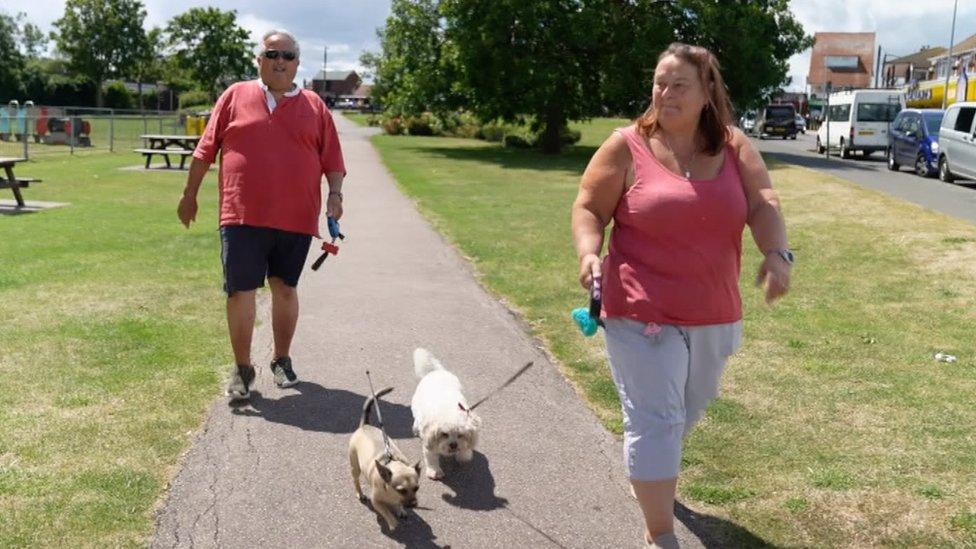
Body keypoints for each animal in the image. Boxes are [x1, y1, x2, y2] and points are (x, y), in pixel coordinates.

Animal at [348, 386, 422, 532]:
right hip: (355, 467)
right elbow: (386, 512)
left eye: (416, 488)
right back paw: (360, 493)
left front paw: (400, 509)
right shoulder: (376, 502)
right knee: (356, 480)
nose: (414, 504)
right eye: (401, 490)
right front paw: (392, 522)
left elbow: (398, 504)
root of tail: (364, 425)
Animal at [410, 348, 482, 478]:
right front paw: (434, 471)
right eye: (444, 434)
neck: (449, 409)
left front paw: (464, 454)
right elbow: (431, 458)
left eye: (460, 435)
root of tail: (436, 371)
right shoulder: (429, 442)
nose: (453, 444)